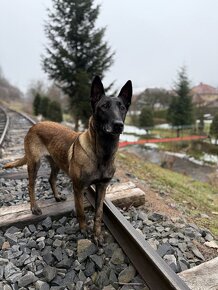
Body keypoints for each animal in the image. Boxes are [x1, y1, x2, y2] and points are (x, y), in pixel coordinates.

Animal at [3, 76, 132, 238]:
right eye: (104, 106)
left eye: (122, 108)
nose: (118, 125)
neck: (103, 153)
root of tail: (35, 125)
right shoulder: (78, 187)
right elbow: (81, 211)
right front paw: (83, 229)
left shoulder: (102, 186)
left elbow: (99, 212)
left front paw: (97, 234)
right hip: (34, 163)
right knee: (31, 185)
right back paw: (34, 207)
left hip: (56, 162)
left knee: (51, 179)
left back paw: (57, 197)